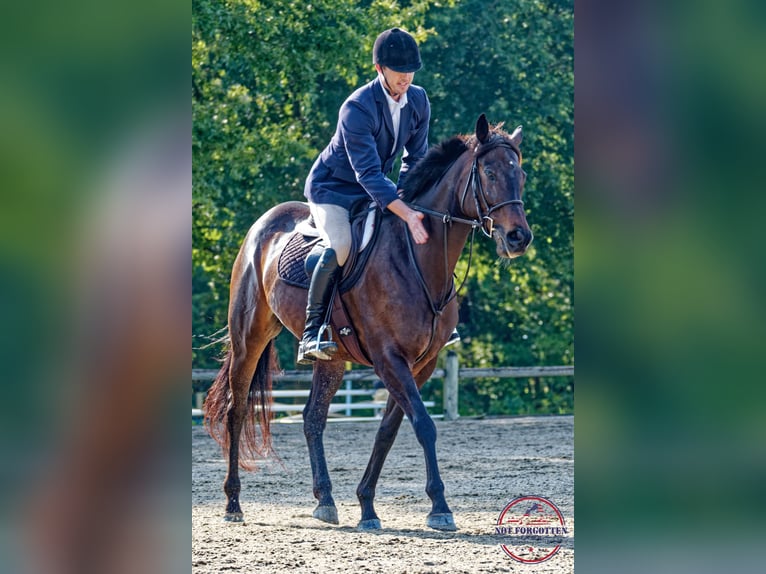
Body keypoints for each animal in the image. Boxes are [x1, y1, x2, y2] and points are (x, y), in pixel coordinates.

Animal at [204, 115, 536, 532]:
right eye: (489, 173)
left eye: (520, 174)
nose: (518, 237)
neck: (418, 258)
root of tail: (264, 223)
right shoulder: (388, 358)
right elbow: (424, 424)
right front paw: (440, 506)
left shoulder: (421, 364)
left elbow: (388, 431)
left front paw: (366, 506)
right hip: (250, 336)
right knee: (237, 411)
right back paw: (233, 502)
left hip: (331, 358)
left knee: (313, 418)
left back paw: (325, 500)